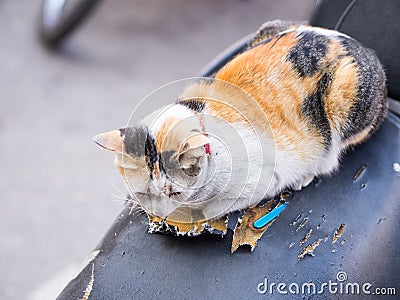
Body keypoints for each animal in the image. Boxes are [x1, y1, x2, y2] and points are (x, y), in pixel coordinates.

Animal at [94, 19, 388, 221]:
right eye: (144, 192)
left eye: (174, 193)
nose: (157, 213)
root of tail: (356, 43)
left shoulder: (260, 183)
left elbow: (213, 209)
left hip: (345, 96)